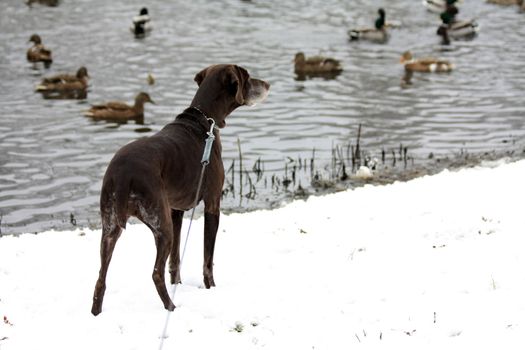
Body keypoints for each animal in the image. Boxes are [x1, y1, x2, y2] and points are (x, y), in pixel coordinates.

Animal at [90, 64, 268, 316]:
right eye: (248, 77)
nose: (268, 84)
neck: (205, 119)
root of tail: (124, 174)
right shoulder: (213, 203)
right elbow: (207, 259)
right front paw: (211, 288)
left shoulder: (176, 210)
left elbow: (175, 260)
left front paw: (179, 284)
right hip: (160, 225)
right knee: (155, 272)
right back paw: (171, 307)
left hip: (110, 226)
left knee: (101, 277)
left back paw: (96, 313)